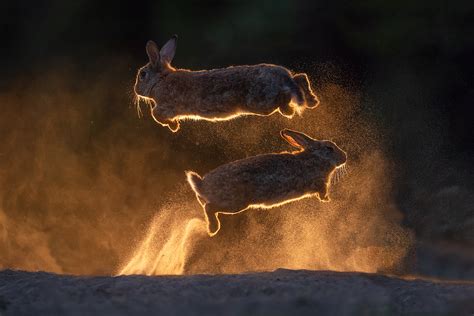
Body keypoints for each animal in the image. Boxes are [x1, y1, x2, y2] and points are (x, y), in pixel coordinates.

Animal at [133, 35, 318, 132]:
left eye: (142, 75)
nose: (136, 90)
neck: (161, 79)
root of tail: (284, 77)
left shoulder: (165, 106)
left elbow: (155, 114)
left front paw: (174, 126)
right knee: (301, 77)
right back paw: (312, 101)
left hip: (261, 102)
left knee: (284, 97)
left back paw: (290, 110)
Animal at [186, 129, 348, 237]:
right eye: (329, 148)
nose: (344, 157)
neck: (315, 158)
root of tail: (201, 185)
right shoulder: (317, 182)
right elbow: (321, 190)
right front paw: (327, 200)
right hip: (235, 203)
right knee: (209, 207)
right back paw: (213, 229)